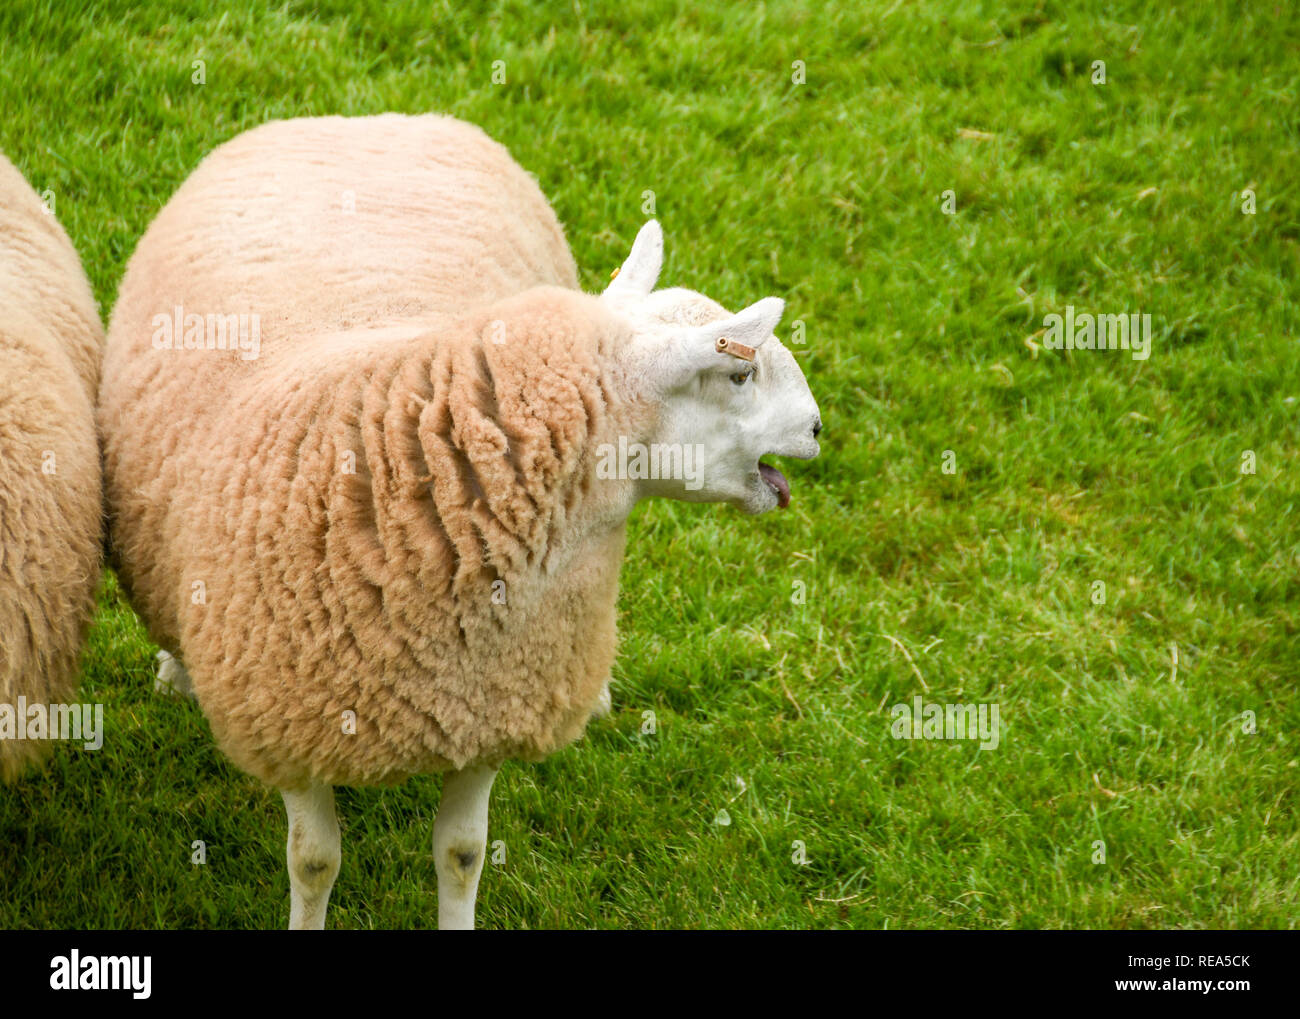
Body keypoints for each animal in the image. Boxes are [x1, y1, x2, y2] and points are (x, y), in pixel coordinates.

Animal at [98, 113, 821, 930]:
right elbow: (314, 863)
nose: (819, 427)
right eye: (740, 373)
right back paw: (176, 669)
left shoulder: (491, 707)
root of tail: (359, 118)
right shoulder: (289, 720)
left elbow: (463, 852)